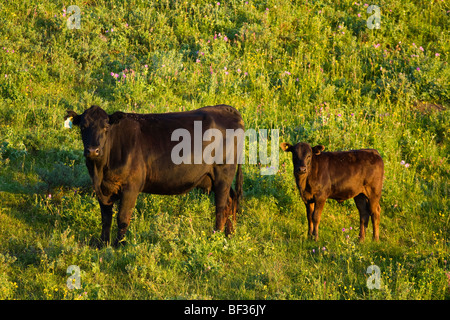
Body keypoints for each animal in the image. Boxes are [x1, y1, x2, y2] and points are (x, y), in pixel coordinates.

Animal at [65, 104, 244, 246]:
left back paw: (216, 238)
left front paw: (119, 245)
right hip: (214, 178)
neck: (100, 170)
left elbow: (122, 218)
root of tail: (225, 108)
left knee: (221, 206)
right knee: (231, 200)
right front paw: (103, 244)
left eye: (105, 128)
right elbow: (106, 218)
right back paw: (229, 236)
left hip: (223, 173)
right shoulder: (103, 189)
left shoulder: (131, 187)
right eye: (83, 127)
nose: (93, 150)